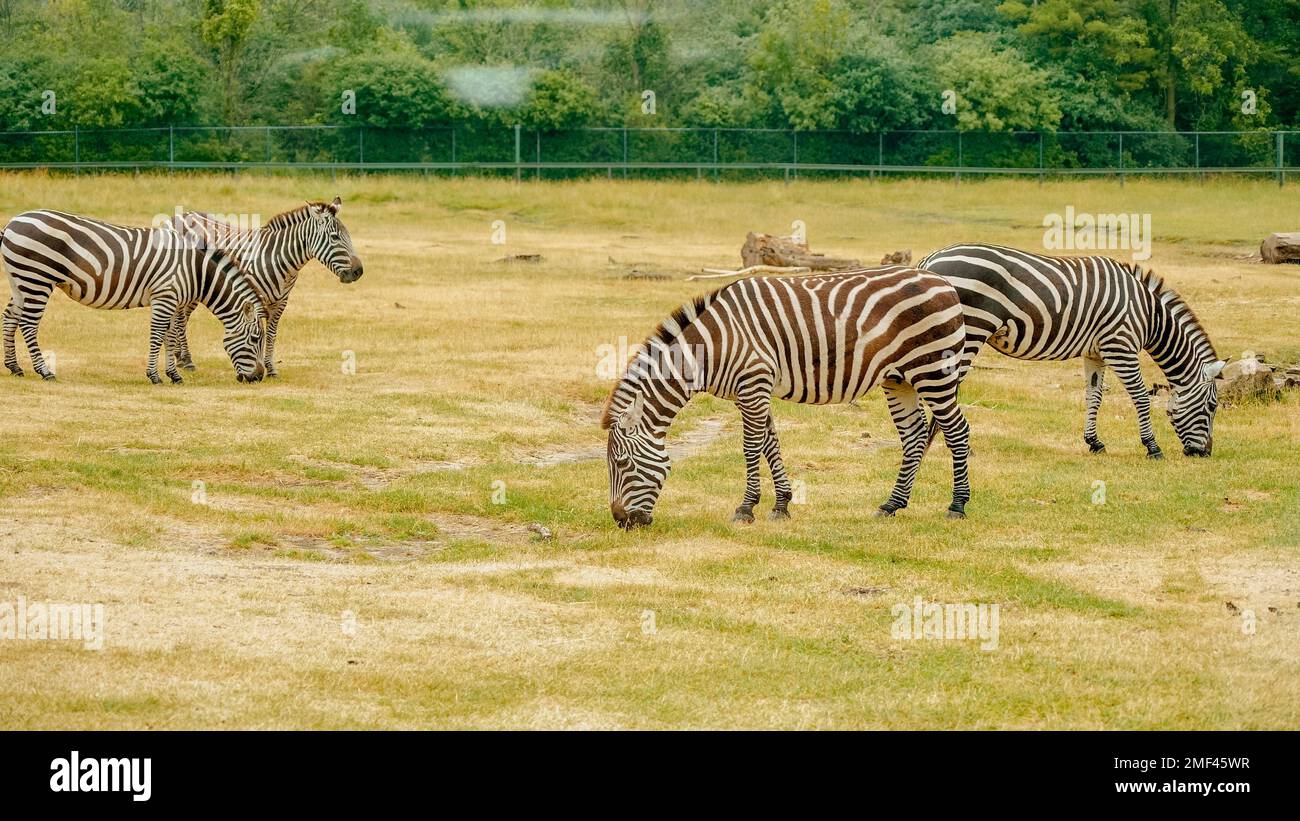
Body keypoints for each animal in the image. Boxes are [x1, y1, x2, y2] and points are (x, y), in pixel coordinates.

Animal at [1, 207, 266, 381]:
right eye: (255, 339)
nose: (258, 377)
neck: (194, 269)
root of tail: (13, 221)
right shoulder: (164, 296)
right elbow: (157, 335)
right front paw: (154, 376)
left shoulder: (173, 300)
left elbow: (170, 336)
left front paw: (173, 375)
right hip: (37, 279)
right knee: (28, 324)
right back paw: (44, 371)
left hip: (20, 280)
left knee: (10, 317)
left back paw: (15, 367)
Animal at [167, 198, 364, 379]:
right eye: (335, 237)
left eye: (348, 235)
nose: (358, 271)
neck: (279, 259)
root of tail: (179, 215)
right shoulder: (254, 298)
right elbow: (257, 331)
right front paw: (257, 366)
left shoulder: (281, 302)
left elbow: (271, 334)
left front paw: (270, 369)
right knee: (180, 319)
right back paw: (187, 360)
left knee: (182, 317)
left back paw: (179, 356)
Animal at [603, 266, 972, 530]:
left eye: (622, 464)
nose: (621, 521)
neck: (711, 348)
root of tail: (943, 281)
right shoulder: (751, 389)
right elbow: (770, 443)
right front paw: (782, 504)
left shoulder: (753, 384)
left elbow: (751, 447)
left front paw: (746, 508)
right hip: (899, 379)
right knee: (913, 437)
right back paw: (892, 505)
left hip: (933, 371)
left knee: (957, 431)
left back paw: (957, 506)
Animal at [920, 244, 1222, 462]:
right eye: (1212, 407)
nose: (1204, 454)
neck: (1149, 316)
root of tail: (931, 260)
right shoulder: (1120, 347)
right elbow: (1140, 398)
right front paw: (1152, 447)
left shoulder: (1096, 353)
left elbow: (1094, 396)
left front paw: (1094, 442)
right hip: (968, 331)